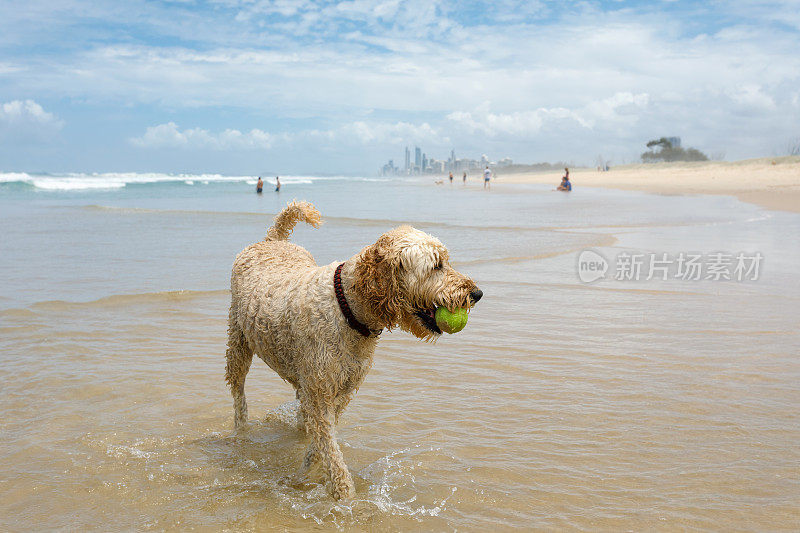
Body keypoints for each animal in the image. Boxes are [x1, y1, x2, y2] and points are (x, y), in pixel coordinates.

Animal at [223, 200, 482, 498]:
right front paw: (346, 499)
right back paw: (242, 433)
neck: (347, 307)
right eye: (436, 266)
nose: (477, 293)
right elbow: (331, 451)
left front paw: (307, 471)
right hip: (238, 343)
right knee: (239, 395)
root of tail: (272, 240)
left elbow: (322, 443)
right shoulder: (321, 393)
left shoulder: (341, 391)